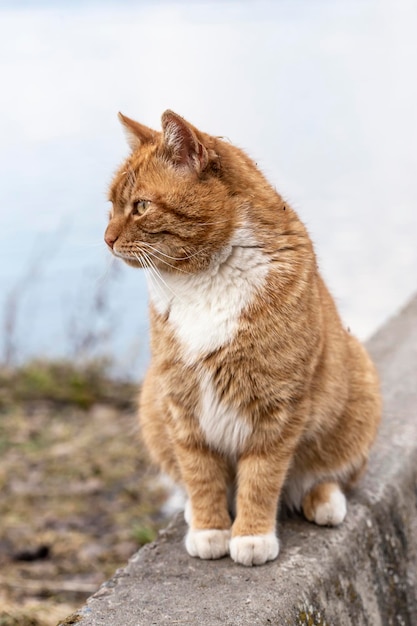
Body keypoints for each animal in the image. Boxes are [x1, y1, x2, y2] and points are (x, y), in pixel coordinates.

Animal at [105, 109, 380, 564]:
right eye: (109, 207)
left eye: (140, 207)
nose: (106, 239)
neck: (202, 279)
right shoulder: (180, 400)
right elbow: (200, 472)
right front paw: (209, 527)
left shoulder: (277, 405)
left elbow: (261, 476)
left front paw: (251, 536)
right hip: (151, 404)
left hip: (358, 391)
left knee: (326, 474)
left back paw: (325, 500)